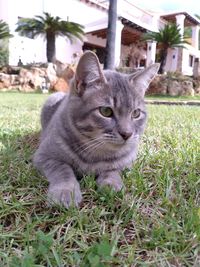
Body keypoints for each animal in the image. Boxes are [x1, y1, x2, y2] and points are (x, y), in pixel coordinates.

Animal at [34, 51, 159, 208]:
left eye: (136, 113)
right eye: (106, 111)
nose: (127, 134)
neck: (95, 153)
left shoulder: (127, 162)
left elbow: (113, 169)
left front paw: (111, 184)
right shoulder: (44, 156)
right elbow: (62, 169)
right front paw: (65, 191)